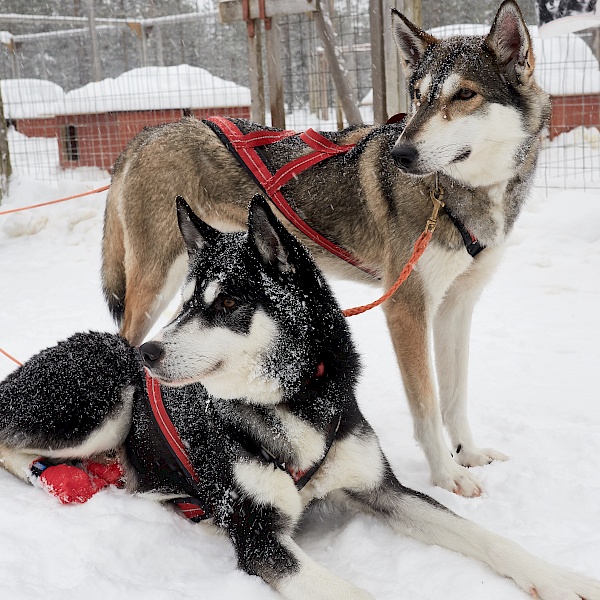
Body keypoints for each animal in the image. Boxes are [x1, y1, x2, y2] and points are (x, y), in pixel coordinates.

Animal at [1, 198, 600, 600]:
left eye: (229, 303)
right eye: (187, 302)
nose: (149, 353)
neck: (292, 404)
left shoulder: (382, 489)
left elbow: (485, 536)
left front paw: (559, 577)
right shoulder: (259, 537)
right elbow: (353, 594)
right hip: (102, 405)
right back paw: (57, 475)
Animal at [101, 0, 552, 496]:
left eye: (464, 95)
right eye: (417, 97)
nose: (401, 154)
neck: (454, 195)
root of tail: (147, 133)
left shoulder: (456, 307)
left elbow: (454, 397)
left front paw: (467, 454)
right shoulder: (407, 309)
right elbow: (427, 406)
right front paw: (445, 474)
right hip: (155, 285)